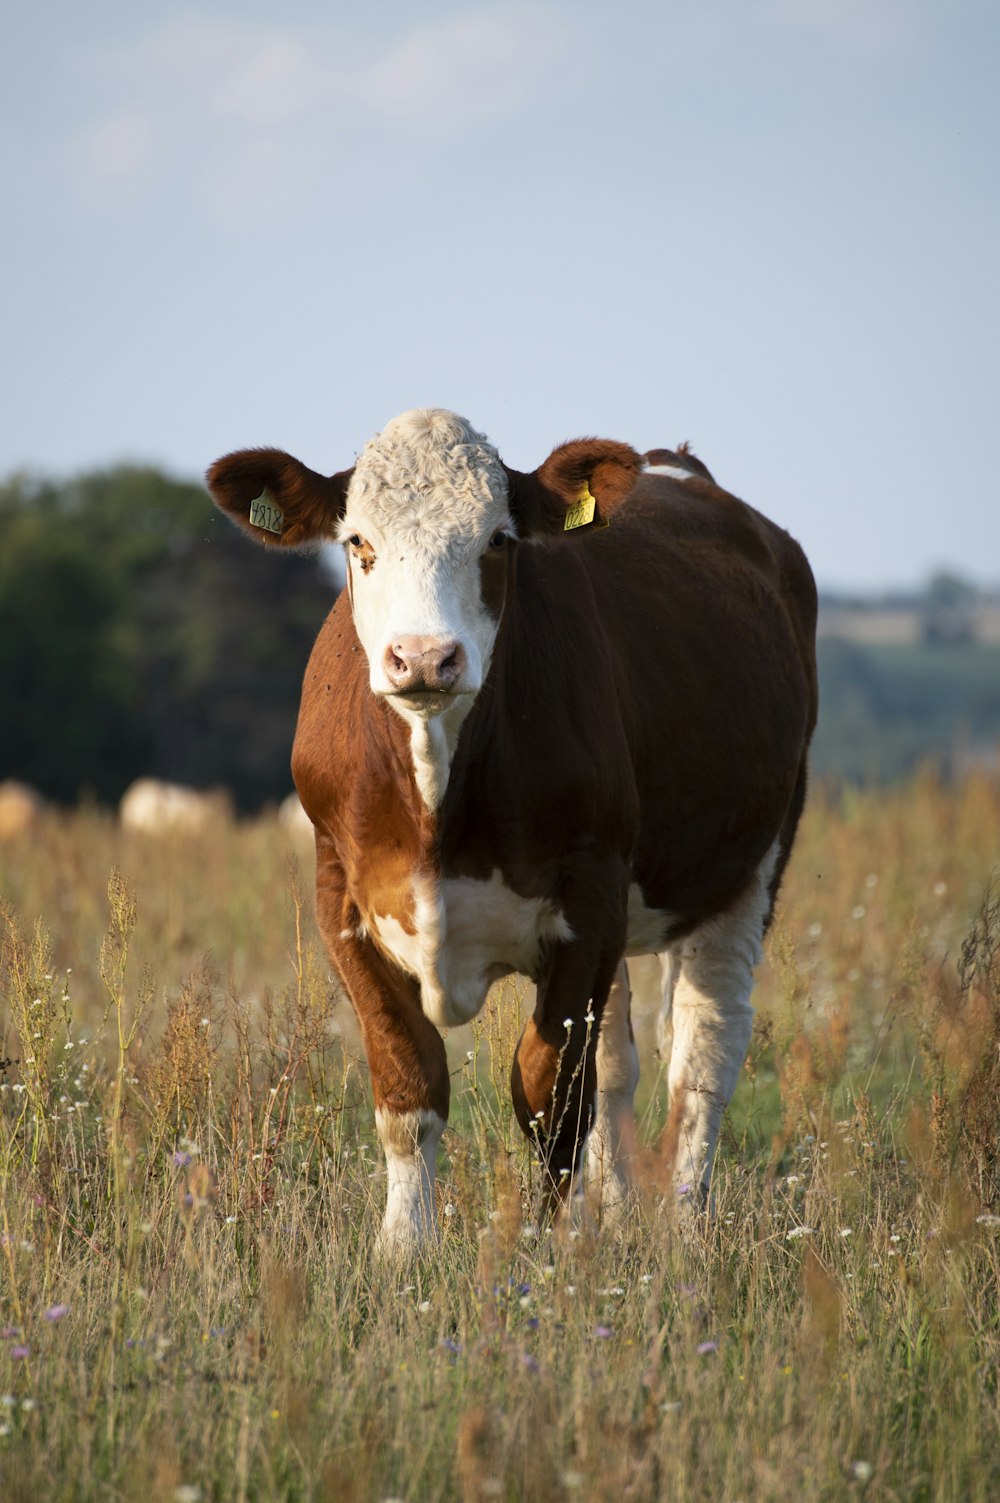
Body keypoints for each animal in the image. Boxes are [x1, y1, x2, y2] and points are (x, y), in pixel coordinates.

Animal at [206, 411, 818, 1256]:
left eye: (498, 539)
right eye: (357, 540)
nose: (423, 657)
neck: (436, 790)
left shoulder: (589, 896)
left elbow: (550, 1092)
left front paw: (550, 1249)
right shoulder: (342, 896)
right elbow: (409, 1078)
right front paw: (405, 1245)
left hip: (753, 861)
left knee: (705, 1051)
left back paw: (687, 1225)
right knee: (620, 1060)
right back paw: (617, 1210)